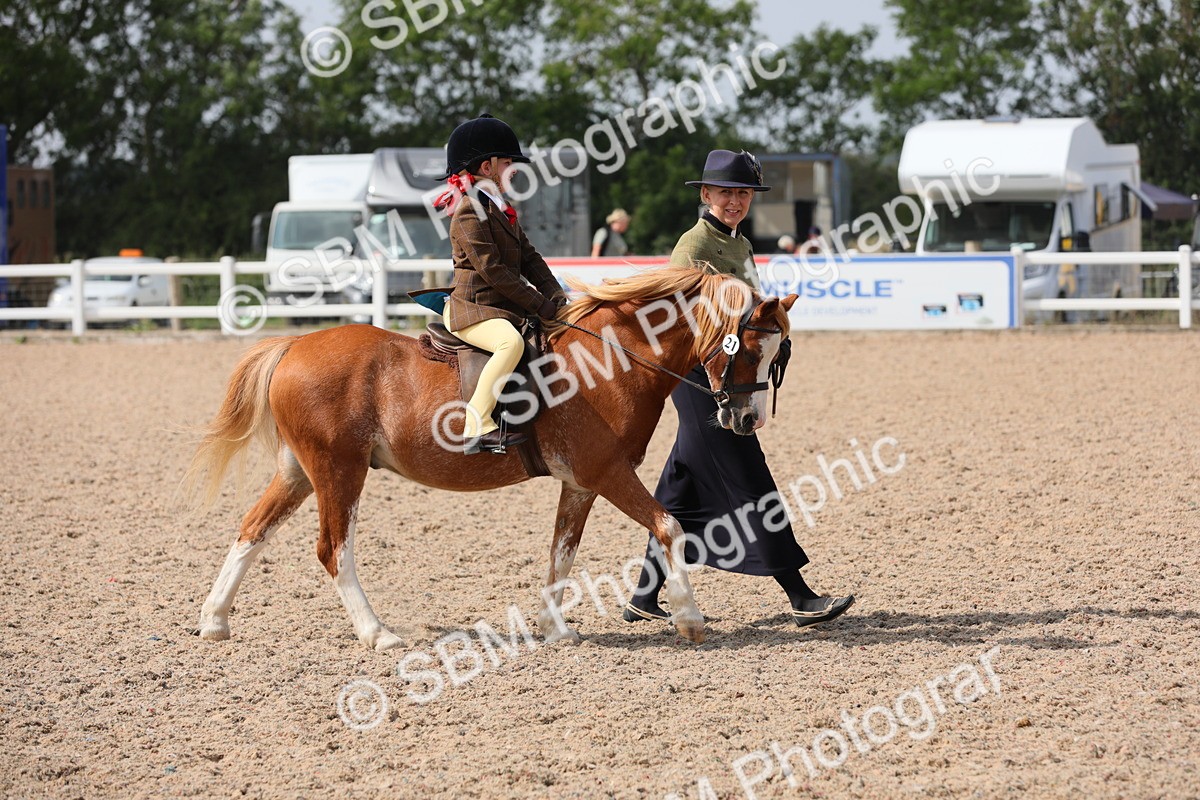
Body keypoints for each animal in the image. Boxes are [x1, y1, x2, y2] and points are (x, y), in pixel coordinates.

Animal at [185, 265, 797, 650]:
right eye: (747, 346)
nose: (747, 420)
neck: (612, 357)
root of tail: (292, 345)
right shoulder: (607, 473)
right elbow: (669, 525)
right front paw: (690, 619)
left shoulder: (580, 482)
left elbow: (561, 554)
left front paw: (555, 629)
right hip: (340, 471)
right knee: (334, 550)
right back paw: (377, 633)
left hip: (300, 472)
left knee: (252, 529)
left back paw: (214, 621)